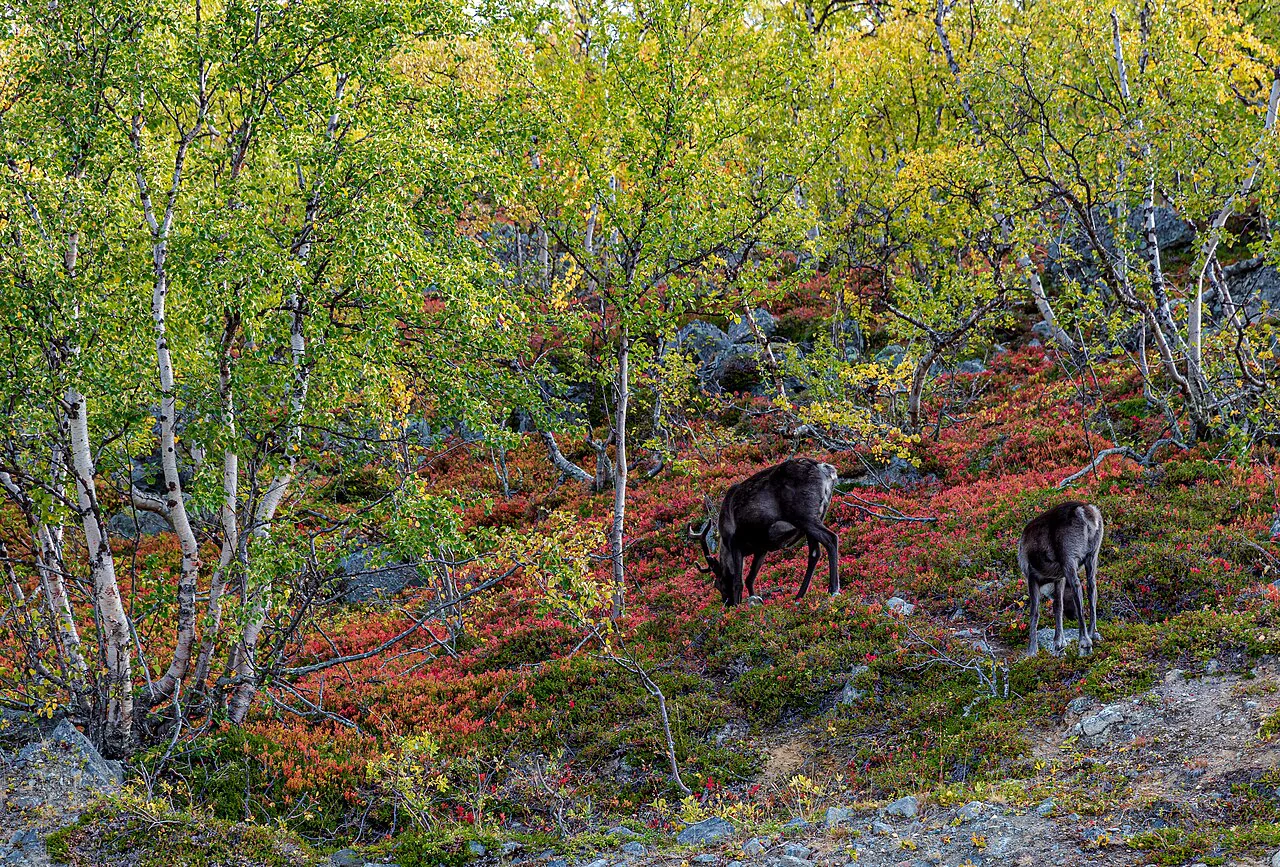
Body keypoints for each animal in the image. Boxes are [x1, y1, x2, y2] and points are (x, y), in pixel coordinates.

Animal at [689, 458, 841, 606]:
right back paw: (799, 597)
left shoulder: (736, 543)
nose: (728, 604)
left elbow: (739, 581)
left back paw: (833, 590)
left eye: (718, 584)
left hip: (804, 515)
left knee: (831, 538)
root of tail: (825, 469)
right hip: (816, 516)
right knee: (814, 553)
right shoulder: (762, 548)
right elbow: (750, 578)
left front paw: (738, 608)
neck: (725, 543)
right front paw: (754, 600)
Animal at [1019, 501, 1104, 657]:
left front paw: (1032, 650)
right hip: (1093, 553)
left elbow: (1035, 612)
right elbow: (1058, 606)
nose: (1074, 616)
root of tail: (1084, 511)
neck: (1047, 582)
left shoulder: (1032, 575)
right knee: (1092, 587)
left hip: (1068, 557)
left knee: (1078, 587)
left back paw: (1085, 642)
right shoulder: (1059, 578)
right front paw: (1059, 643)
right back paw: (1093, 633)